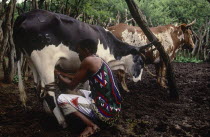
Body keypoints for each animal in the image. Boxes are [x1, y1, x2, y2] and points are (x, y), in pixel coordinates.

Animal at [12, 9, 151, 127]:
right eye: (141, 61)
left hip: (31, 61)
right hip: (45, 62)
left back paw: (48, 112)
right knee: (49, 92)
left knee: (38, 87)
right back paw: (62, 121)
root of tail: (27, 14)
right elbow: (88, 86)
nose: (139, 80)